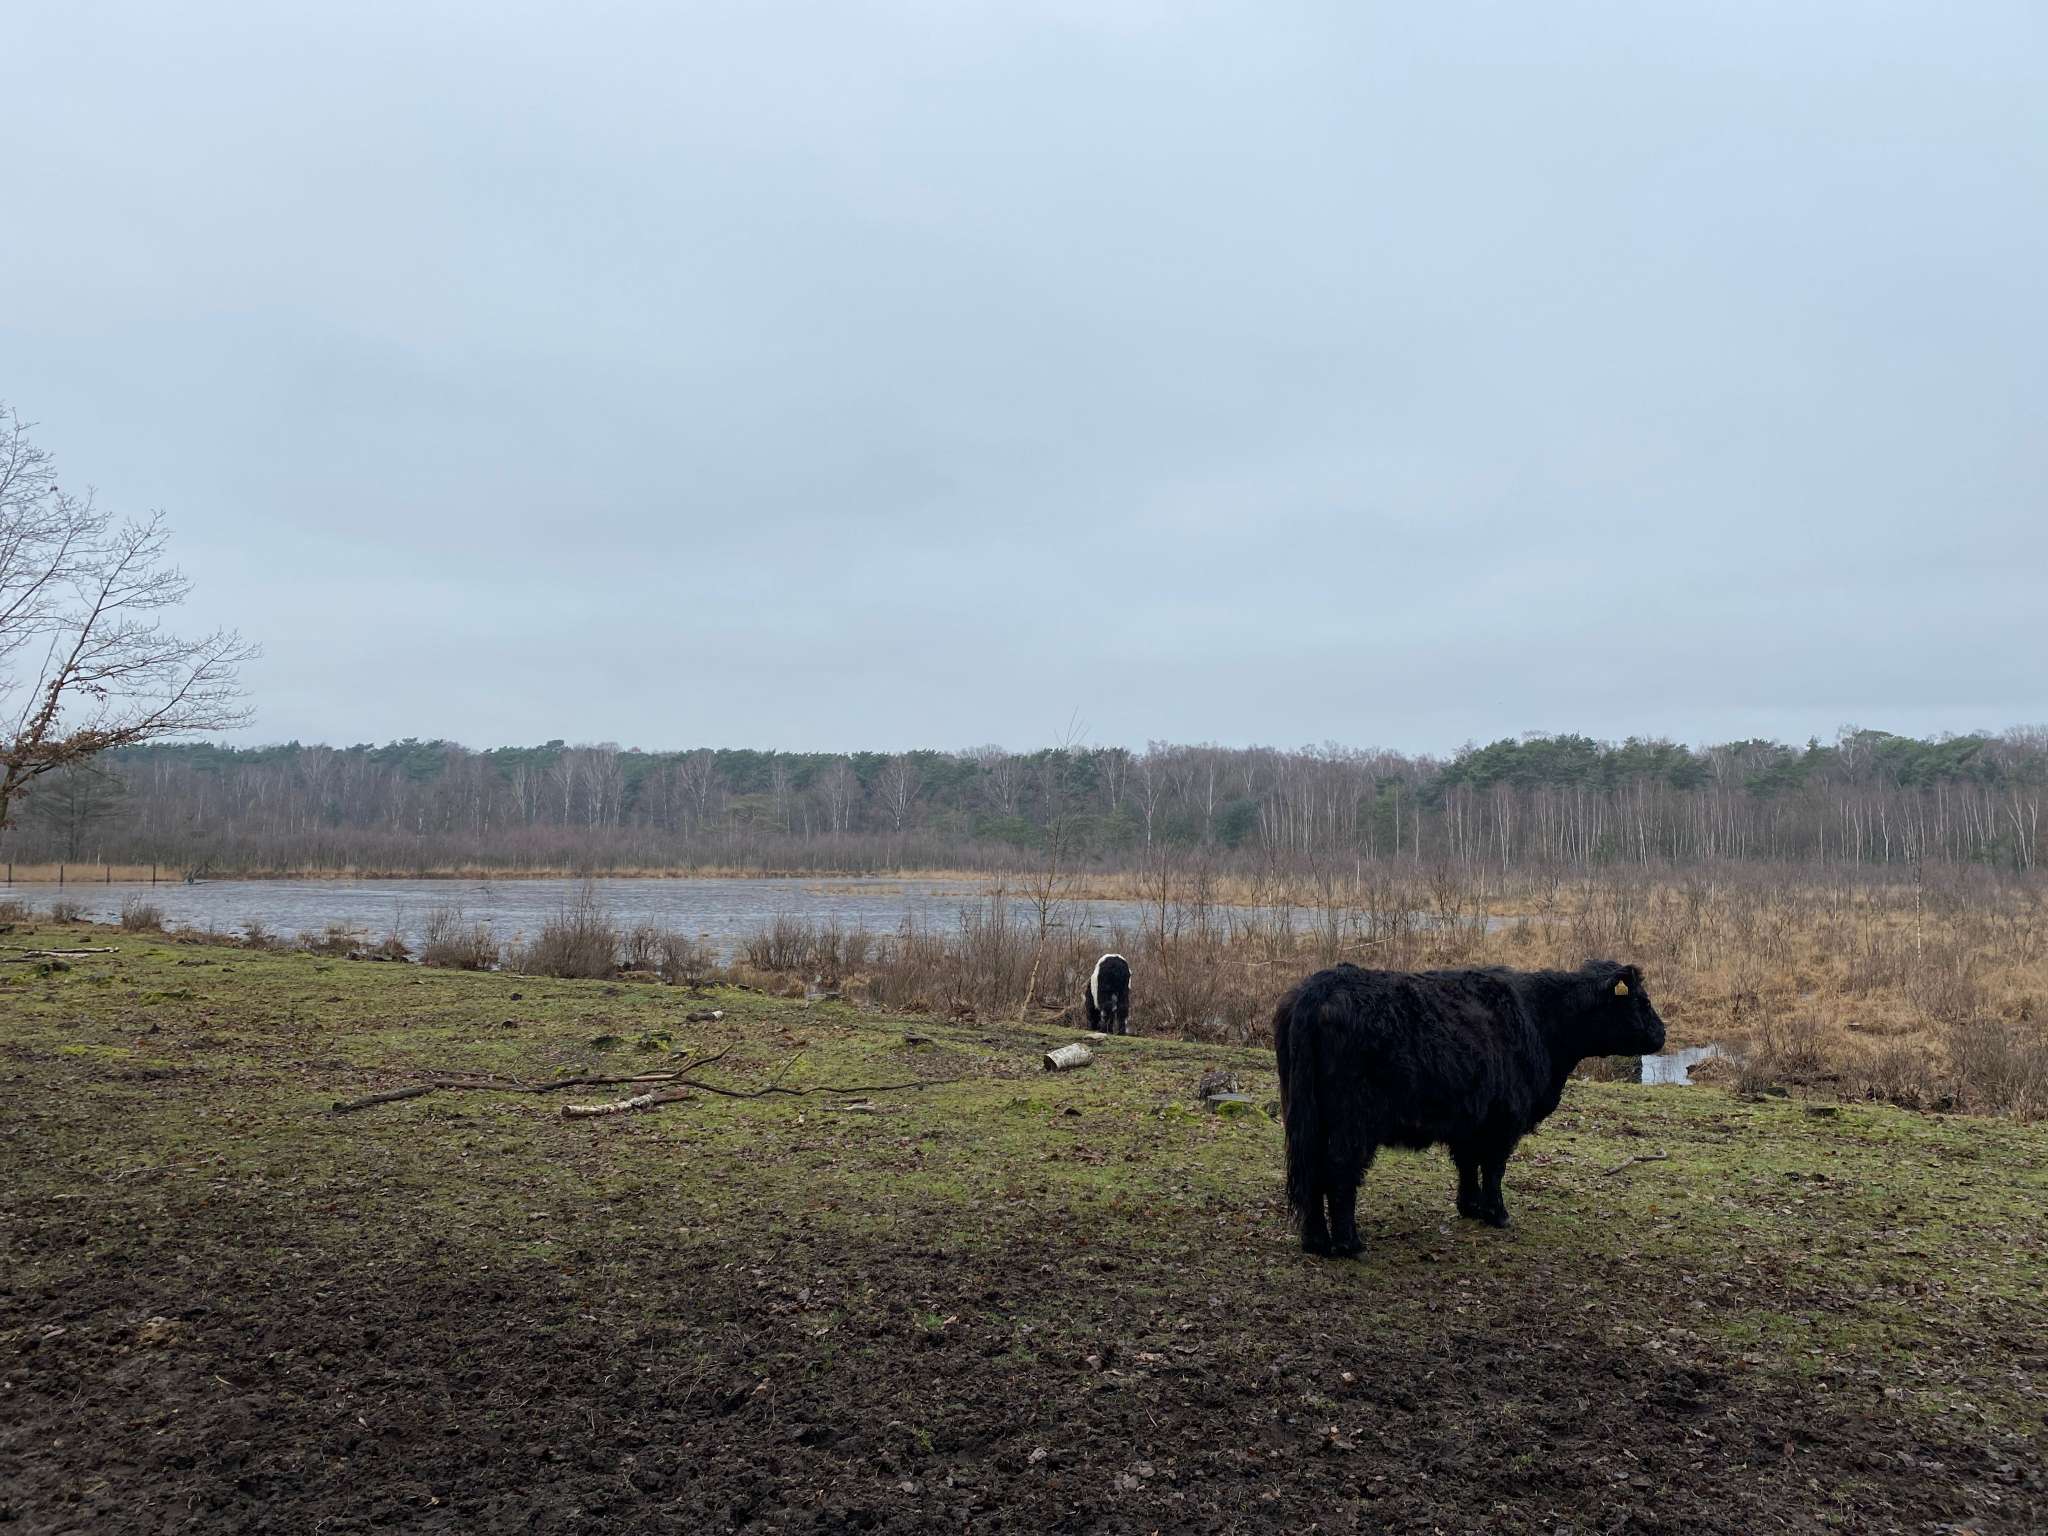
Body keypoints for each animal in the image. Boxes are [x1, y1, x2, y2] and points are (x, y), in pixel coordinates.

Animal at [1273, 959, 1667, 1258]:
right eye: (1643, 1001)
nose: (1662, 1033)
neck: (1541, 1019)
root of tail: (1322, 985)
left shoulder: (1471, 1119)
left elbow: (1467, 1164)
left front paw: (1469, 1208)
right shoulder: (1505, 1119)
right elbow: (1493, 1168)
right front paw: (1497, 1214)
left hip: (1309, 1115)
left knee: (1311, 1170)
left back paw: (1315, 1241)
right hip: (1353, 1121)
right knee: (1339, 1170)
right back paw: (1349, 1244)